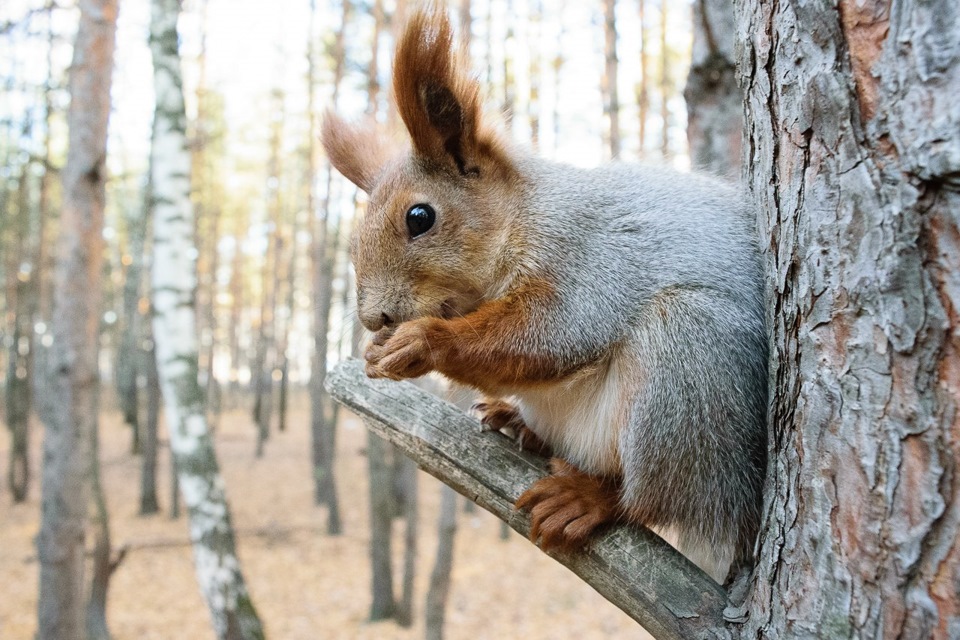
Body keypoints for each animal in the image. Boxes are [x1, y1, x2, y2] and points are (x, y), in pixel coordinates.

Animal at [320, 3, 764, 584]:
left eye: (420, 217)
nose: (375, 319)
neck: (524, 214)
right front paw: (378, 350)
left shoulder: (587, 259)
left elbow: (551, 333)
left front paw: (425, 342)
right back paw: (518, 424)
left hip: (690, 367)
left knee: (656, 500)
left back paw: (591, 497)